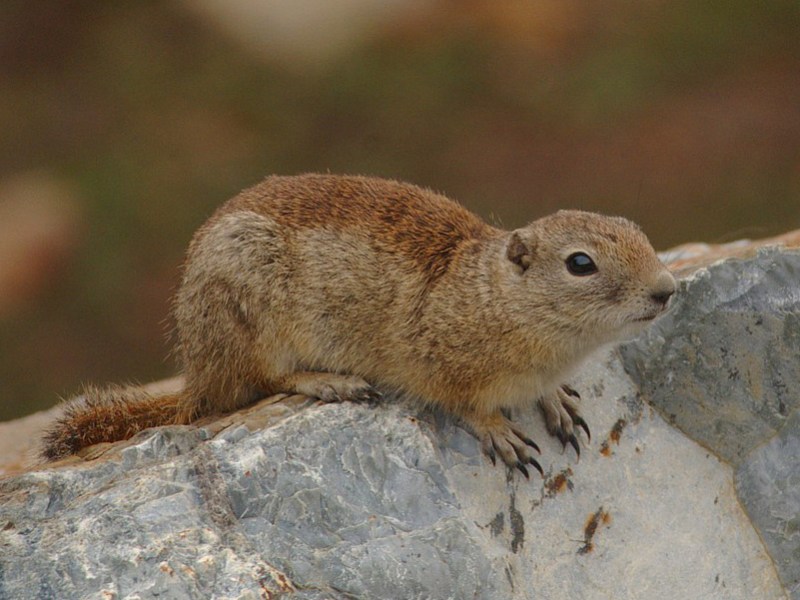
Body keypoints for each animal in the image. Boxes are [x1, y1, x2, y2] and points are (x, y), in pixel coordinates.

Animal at [42, 174, 675, 477]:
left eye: (638, 230)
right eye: (580, 263)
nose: (668, 289)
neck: (493, 296)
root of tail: (196, 373)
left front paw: (558, 402)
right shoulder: (439, 364)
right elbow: (466, 404)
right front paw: (501, 432)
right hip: (251, 323)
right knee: (257, 383)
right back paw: (331, 382)